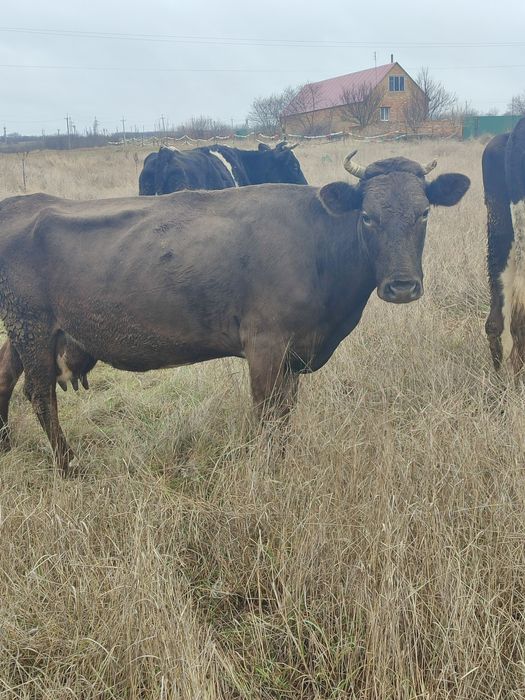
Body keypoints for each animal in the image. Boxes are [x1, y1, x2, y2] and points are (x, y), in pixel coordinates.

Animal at [0, 152, 469, 475]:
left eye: (424, 213)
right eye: (368, 217)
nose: (402, 285)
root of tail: (19, 203)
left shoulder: (293, 354)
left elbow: (284, 413)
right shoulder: (265, 344)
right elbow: (266, 413)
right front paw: (268, 471)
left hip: (24, 331)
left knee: (6, 375)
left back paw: (5, 443)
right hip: (32, 325)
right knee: (39, 394)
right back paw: (68, 465)